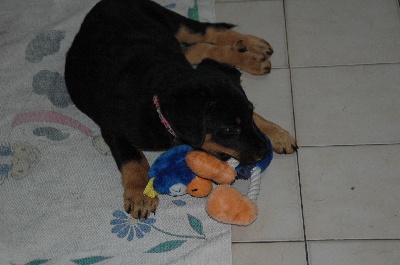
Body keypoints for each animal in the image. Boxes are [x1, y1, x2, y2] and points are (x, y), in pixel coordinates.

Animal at [65, 0, 296, 219]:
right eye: (230, 130)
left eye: (249, 113)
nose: (264, 151)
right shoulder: (112, 128)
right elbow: (134, 159)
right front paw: (140, 196)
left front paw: (277, 134)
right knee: (199, 48)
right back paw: (248, 53)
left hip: (173, 23)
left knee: (207, 32)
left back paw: (251, 48)